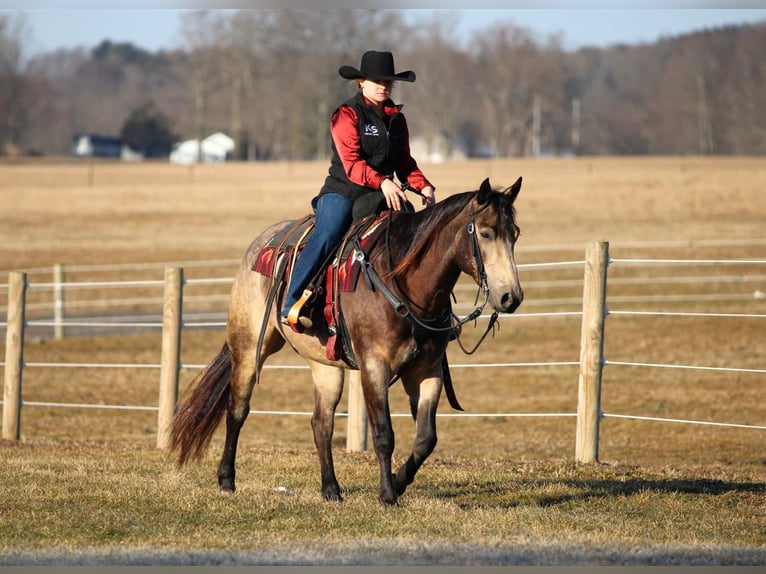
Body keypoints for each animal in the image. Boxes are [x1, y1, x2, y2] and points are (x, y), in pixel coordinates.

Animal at [169, 178, 524, 506]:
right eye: (486, 233)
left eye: (515, 234)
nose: (511, 297)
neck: (404, 282)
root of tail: (259, 246)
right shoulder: (374, 366)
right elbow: (384, 434)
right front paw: (387, 495)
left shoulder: (427, 370)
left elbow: (426, 438)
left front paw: (399, 482)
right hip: (248, 347)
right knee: (237, 410)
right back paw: (226, 479)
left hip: (325, 366)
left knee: (321, 423)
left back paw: (331, 489)